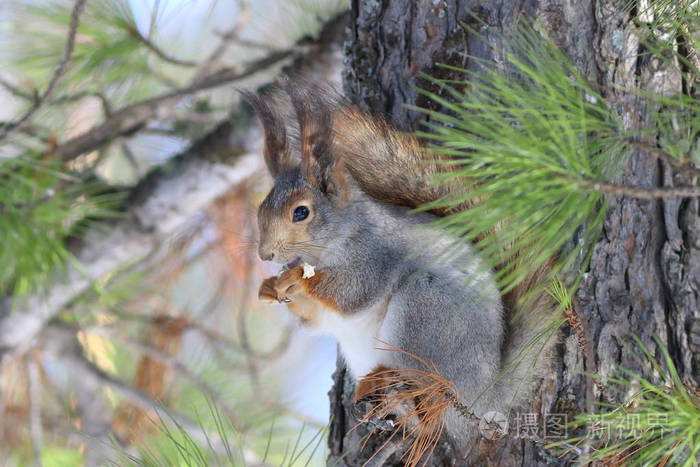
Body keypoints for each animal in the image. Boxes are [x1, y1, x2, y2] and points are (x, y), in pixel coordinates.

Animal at [241, 79, 556, 460]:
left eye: (301, 212)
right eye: (261, 207)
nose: (265, 254)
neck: (337, 239)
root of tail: (485, 396)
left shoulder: (376, 255)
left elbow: (351, 294)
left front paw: (296, 281)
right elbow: (318, 319)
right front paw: (270, 289)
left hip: (426, 311)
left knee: (432, 402)